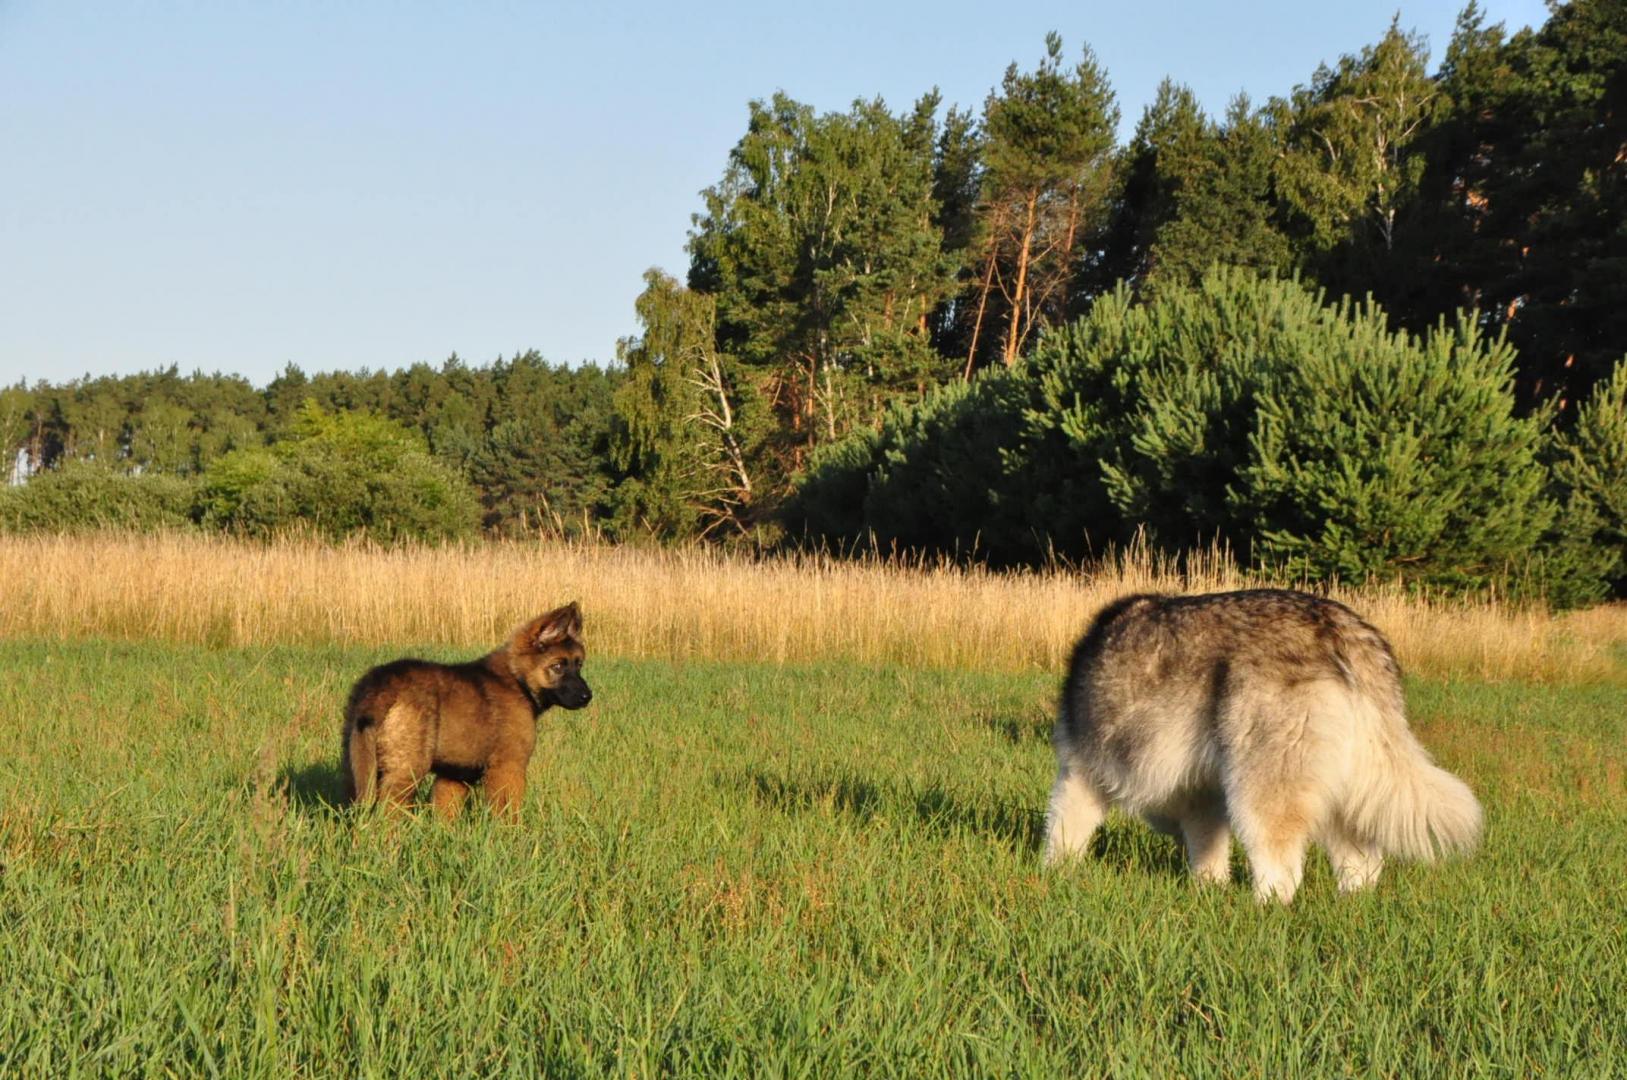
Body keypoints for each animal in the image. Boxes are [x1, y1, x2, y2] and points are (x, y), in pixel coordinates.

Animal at [340, 602, 591, 820]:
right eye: (557, 666)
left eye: (579, 665)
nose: (587, 696)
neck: (517, 679)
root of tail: (379, 684)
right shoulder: (508, 766)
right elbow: (508, 814)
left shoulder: (453, 775)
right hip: (406, 769)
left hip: (358, 764)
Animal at [1044, 590, 1481, 902]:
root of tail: (1337, 624)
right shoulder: (1202, 797)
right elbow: (1208, 852)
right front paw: (1209, 891)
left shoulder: (1081, 770)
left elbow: (1062, 831)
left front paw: (1053, 874)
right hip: (1344, 788)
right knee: (1363, 862)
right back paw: (1352, 903)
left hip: (1263, 784)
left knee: (1282, 867)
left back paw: (1263, 908)